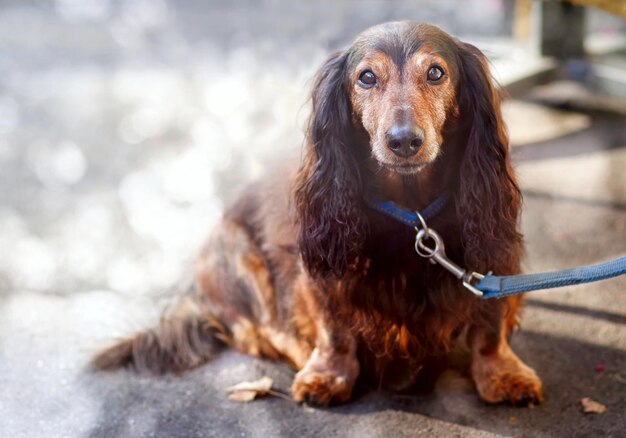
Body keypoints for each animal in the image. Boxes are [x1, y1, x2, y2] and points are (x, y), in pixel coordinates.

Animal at [92, 22, 540, 408]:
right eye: (366, 77)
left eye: (435, 72)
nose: (404, 141)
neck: (411, 215)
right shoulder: (322, 268)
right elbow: (333, 329)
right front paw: (327, 373)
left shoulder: (490, 257)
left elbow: (490, 327)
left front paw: (503, 373)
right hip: (241, 258)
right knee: (256, 330)